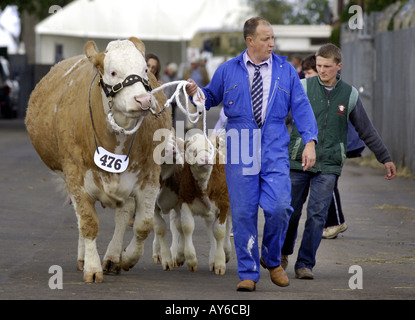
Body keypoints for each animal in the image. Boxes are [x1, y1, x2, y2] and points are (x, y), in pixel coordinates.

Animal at [25, 37, 171, 282]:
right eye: (113, 72)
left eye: (145, 70)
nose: (143, 100)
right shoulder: (75, 177)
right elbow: (88, 223)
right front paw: (92, 268)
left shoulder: (150, 176)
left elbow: (143, 225)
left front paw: (127, 258)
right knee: (82, 219)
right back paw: (84, 258)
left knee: (123, 215)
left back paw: (112, 258)